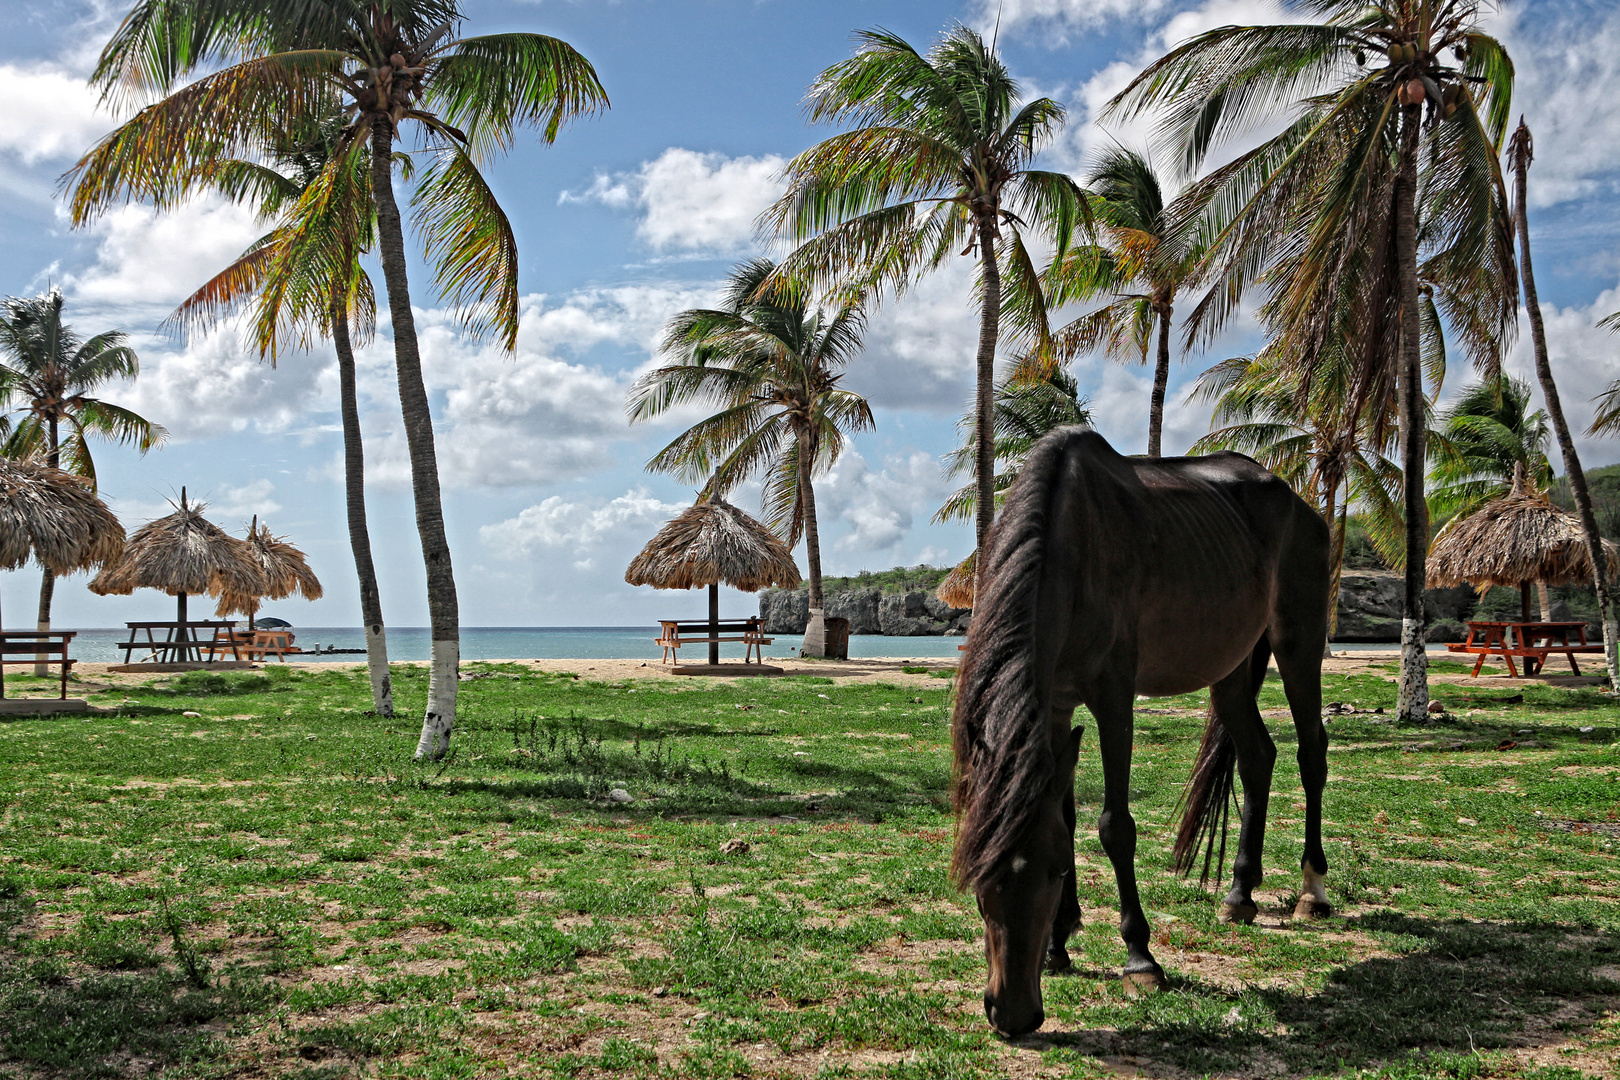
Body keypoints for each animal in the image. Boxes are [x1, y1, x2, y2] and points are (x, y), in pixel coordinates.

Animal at [946, 427, 1328, 1036]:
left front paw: (1139, 958)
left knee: (1312, 753)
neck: (1071, 542)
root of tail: (1301, 503)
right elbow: (1065, 813)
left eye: (1054, 874)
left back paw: (1312, 891)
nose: (1014, 1014)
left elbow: (1113, 826)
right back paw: (1239, 894)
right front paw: (1058, 947)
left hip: (1299, 642)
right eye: (981, 881)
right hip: (1229, 668)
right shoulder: (1056, 704)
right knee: (1257, 756)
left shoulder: (1113, 696)